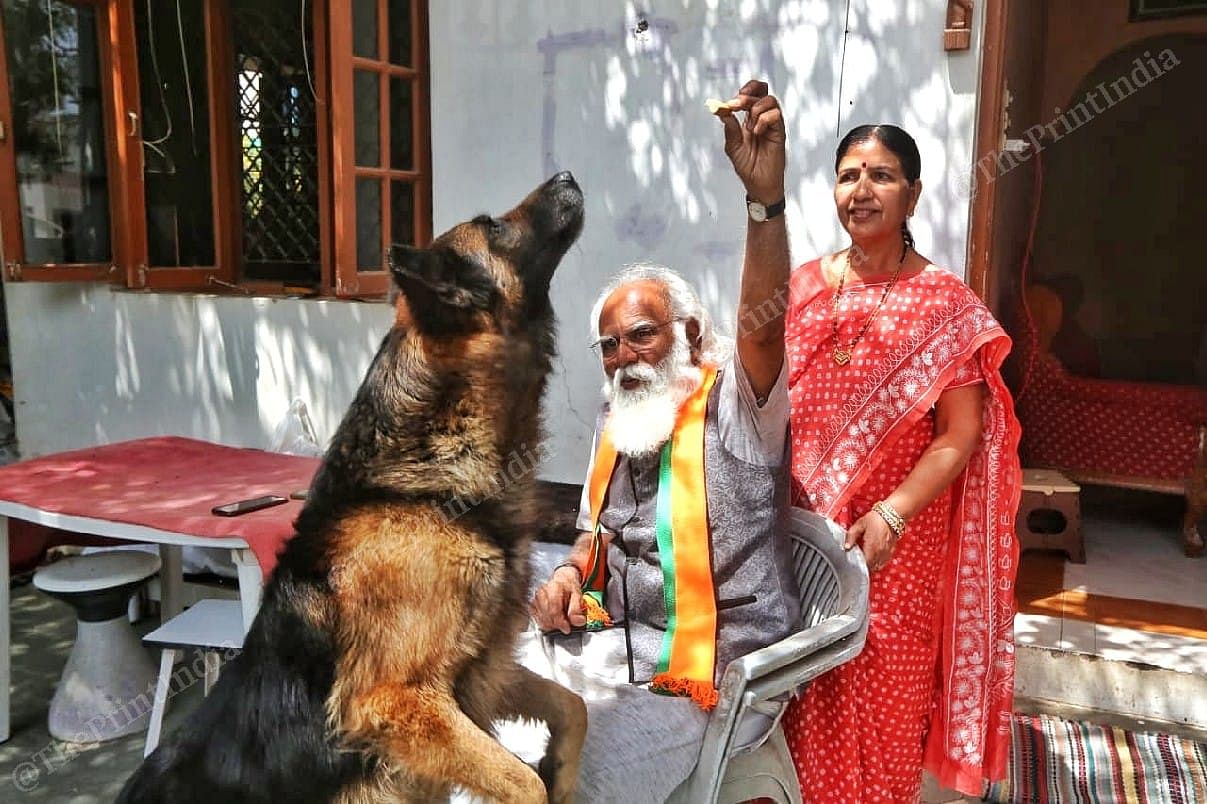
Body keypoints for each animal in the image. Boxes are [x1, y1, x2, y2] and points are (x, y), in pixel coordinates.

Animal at [116, 172, 584, 796]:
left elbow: (574, 707)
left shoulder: (484, 671)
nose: (566, 177)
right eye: (492, 226)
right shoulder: (399, 700)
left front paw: (562, 770)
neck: (422, 489)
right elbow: (525, 783)